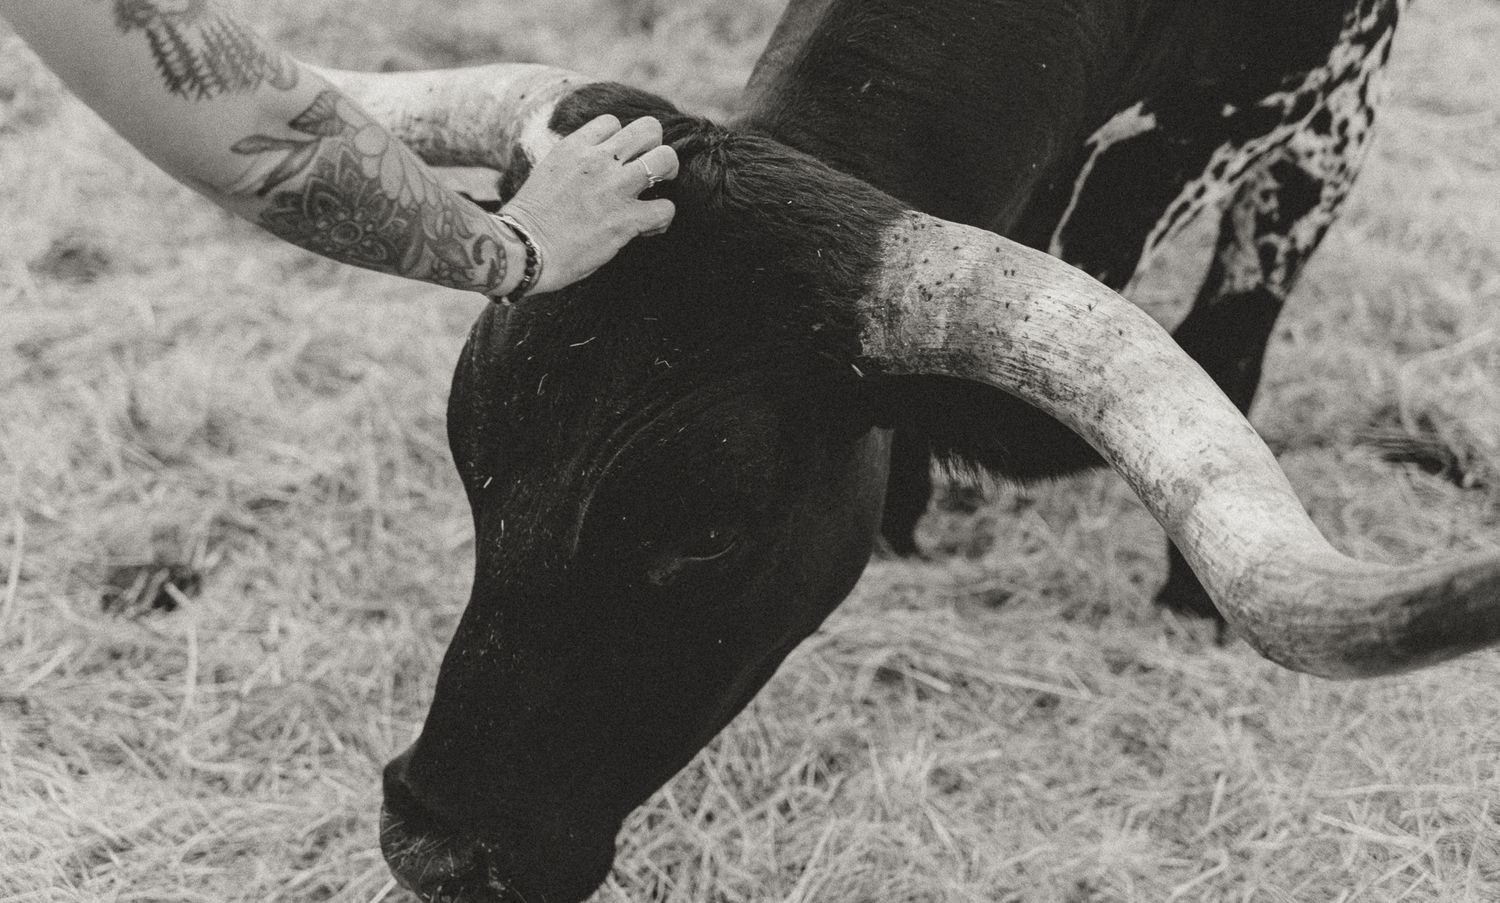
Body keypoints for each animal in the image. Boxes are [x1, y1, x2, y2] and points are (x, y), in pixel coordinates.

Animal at [311, 1, 1500, 900]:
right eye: (473, 462)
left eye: (710, 531)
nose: (429, 848)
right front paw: (905, 521)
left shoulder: (1330, 115)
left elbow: (1232, 334)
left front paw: (1186, 610)